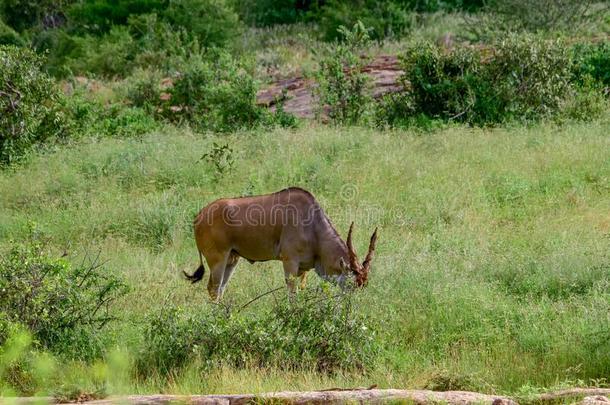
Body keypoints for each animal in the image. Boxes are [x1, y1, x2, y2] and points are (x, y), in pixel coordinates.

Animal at [183, 187, 378, 300]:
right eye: (352, 284)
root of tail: (199, 216)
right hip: (218, 259)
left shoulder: (303, 269)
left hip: (232, 260)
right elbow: (292, 294)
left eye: (363, 285)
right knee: (213, 289)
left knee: (221, 289)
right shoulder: (289, 262)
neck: (312, 224)